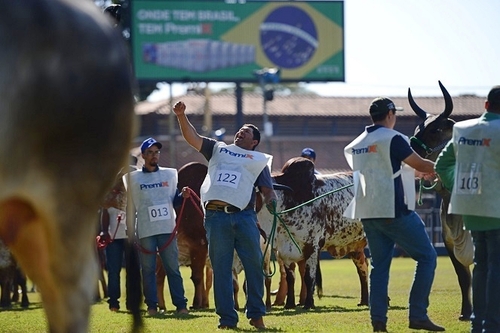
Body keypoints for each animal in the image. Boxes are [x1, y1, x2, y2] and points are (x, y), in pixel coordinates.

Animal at [258, 157, 368, 308]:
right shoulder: (285, 250)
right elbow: (290, 278)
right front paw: (290, 304)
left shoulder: (312, 247)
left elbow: (309, 278)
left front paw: (308, 303)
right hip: (355, 246)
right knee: (363, 268)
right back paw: (364, 300)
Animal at [406, 80, 472, 320]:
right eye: (417, 129)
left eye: (435, 130)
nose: (410, 151)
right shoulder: (449, 241)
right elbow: (464, 277)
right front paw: (466, 312)